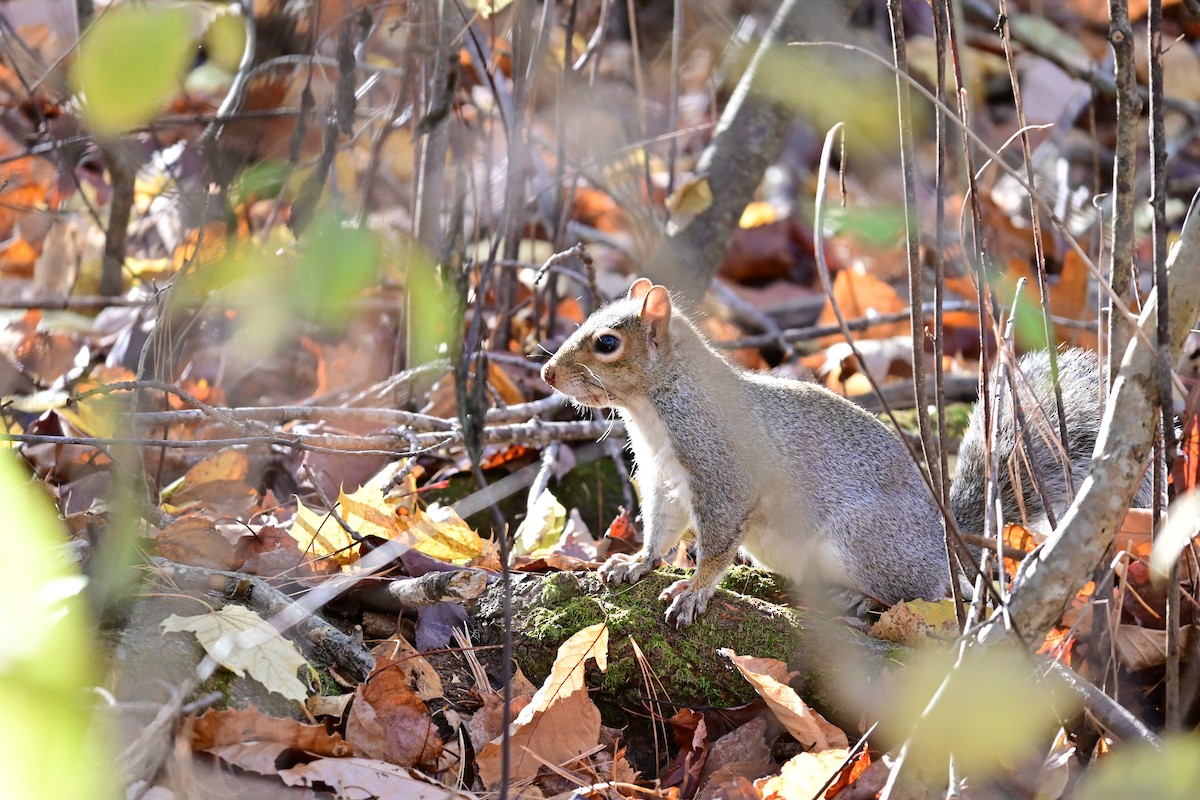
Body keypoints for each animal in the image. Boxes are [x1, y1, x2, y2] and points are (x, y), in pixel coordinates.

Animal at [541, 279, 1152, 626]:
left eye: (607, 343)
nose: (547, 374)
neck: (655, 409)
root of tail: (946, 543)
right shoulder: (664, 481)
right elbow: (661, 530)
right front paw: (634, 563)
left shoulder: (722, 472)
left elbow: (716, 544)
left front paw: (693, 591)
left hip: (863, 544)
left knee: (924, 592)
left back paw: (863, 602)